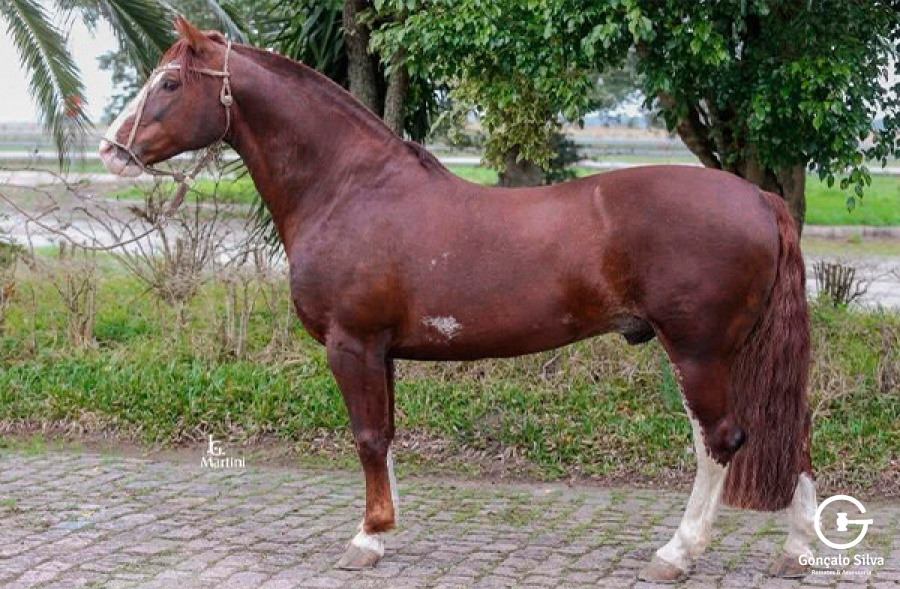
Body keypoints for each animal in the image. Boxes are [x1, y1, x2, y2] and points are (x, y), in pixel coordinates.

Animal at [99, 17, 817, 582]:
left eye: (169, 83)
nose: (110, 150)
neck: (348, 188)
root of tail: (760, 198)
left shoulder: (351, 344)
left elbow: (366, 436)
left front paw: (365, 538)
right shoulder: (380, 351)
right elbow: (385, 434)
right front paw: (386, 526)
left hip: (698, 351)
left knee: (720, 440)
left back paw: (677, 553)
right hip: (738, 354)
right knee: (792, 432)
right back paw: (797, 550)